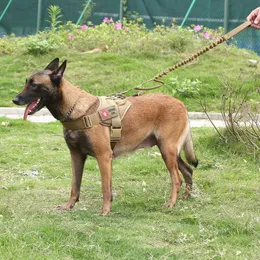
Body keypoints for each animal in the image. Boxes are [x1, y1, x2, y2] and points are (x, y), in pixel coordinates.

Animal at [12, 59, 198, 215]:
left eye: (34, 85)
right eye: (26, 83)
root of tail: (180, 103)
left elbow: (105, 188)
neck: (77, 110)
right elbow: (75, 185)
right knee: (188, 170)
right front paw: (69, 206)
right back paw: (185, 197)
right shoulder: (76, 156)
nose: (15, 100)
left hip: (167, 150)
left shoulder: (103, 157)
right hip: (169, 151)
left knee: (177, 179)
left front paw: (105, 211)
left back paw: (171, 203)